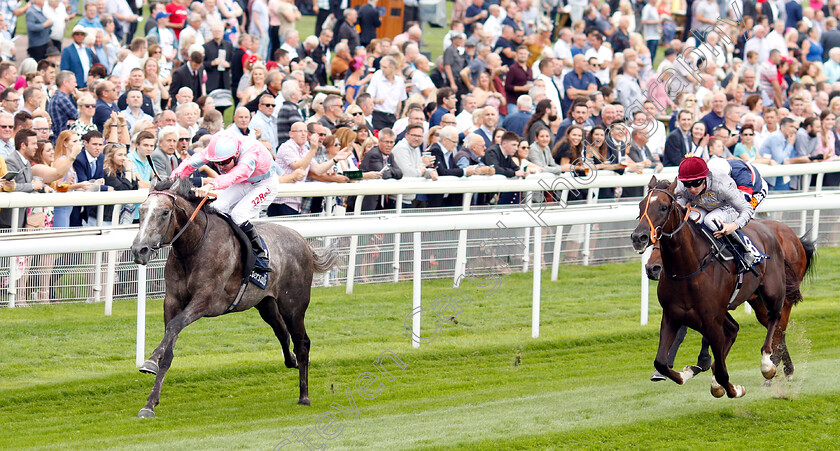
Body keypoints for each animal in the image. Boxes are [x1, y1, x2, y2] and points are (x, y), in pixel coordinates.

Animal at [129, 178, 338, 418]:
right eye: (142, 211)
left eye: (164, 212)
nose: (139, 250)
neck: (194, 246)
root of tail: (303, 240)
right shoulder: (172, 300)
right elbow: (169, 347)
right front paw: (149, 403)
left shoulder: (205, 300)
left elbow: (174, 326)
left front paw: (150, 361)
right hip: (266, 304)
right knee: (283, 334)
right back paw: (292, 362)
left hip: (293, 306)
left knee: (302, 343)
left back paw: (304, 396)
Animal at [632, 177, 804, 400]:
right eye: (641, 205)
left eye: (663, 207)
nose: (639, 237)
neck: (689, 268)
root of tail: (776, 232)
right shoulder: (673, 315)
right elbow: (661, 362)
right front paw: (687, 373)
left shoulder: (711, 319)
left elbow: (723, 372)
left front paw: (734, 389)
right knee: (739, 328)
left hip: (772, 292)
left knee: (775, 321)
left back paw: (768, 365)